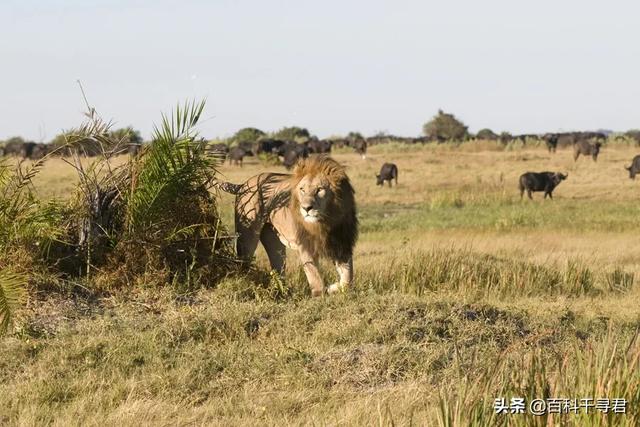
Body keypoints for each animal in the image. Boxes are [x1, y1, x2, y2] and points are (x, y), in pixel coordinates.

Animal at [219, 156, 360, 298]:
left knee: (278, 269)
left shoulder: (342, 243)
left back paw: (283, 293)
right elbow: (314, 275)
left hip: (274, 242)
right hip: (247, 238)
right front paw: (319, 295)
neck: (326, 221)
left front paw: (334, 288)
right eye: (302, 189)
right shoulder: (305, 245)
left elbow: (349, 279)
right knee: (243, 264)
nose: (306, 208)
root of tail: (243, 185)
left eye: (320, 189)